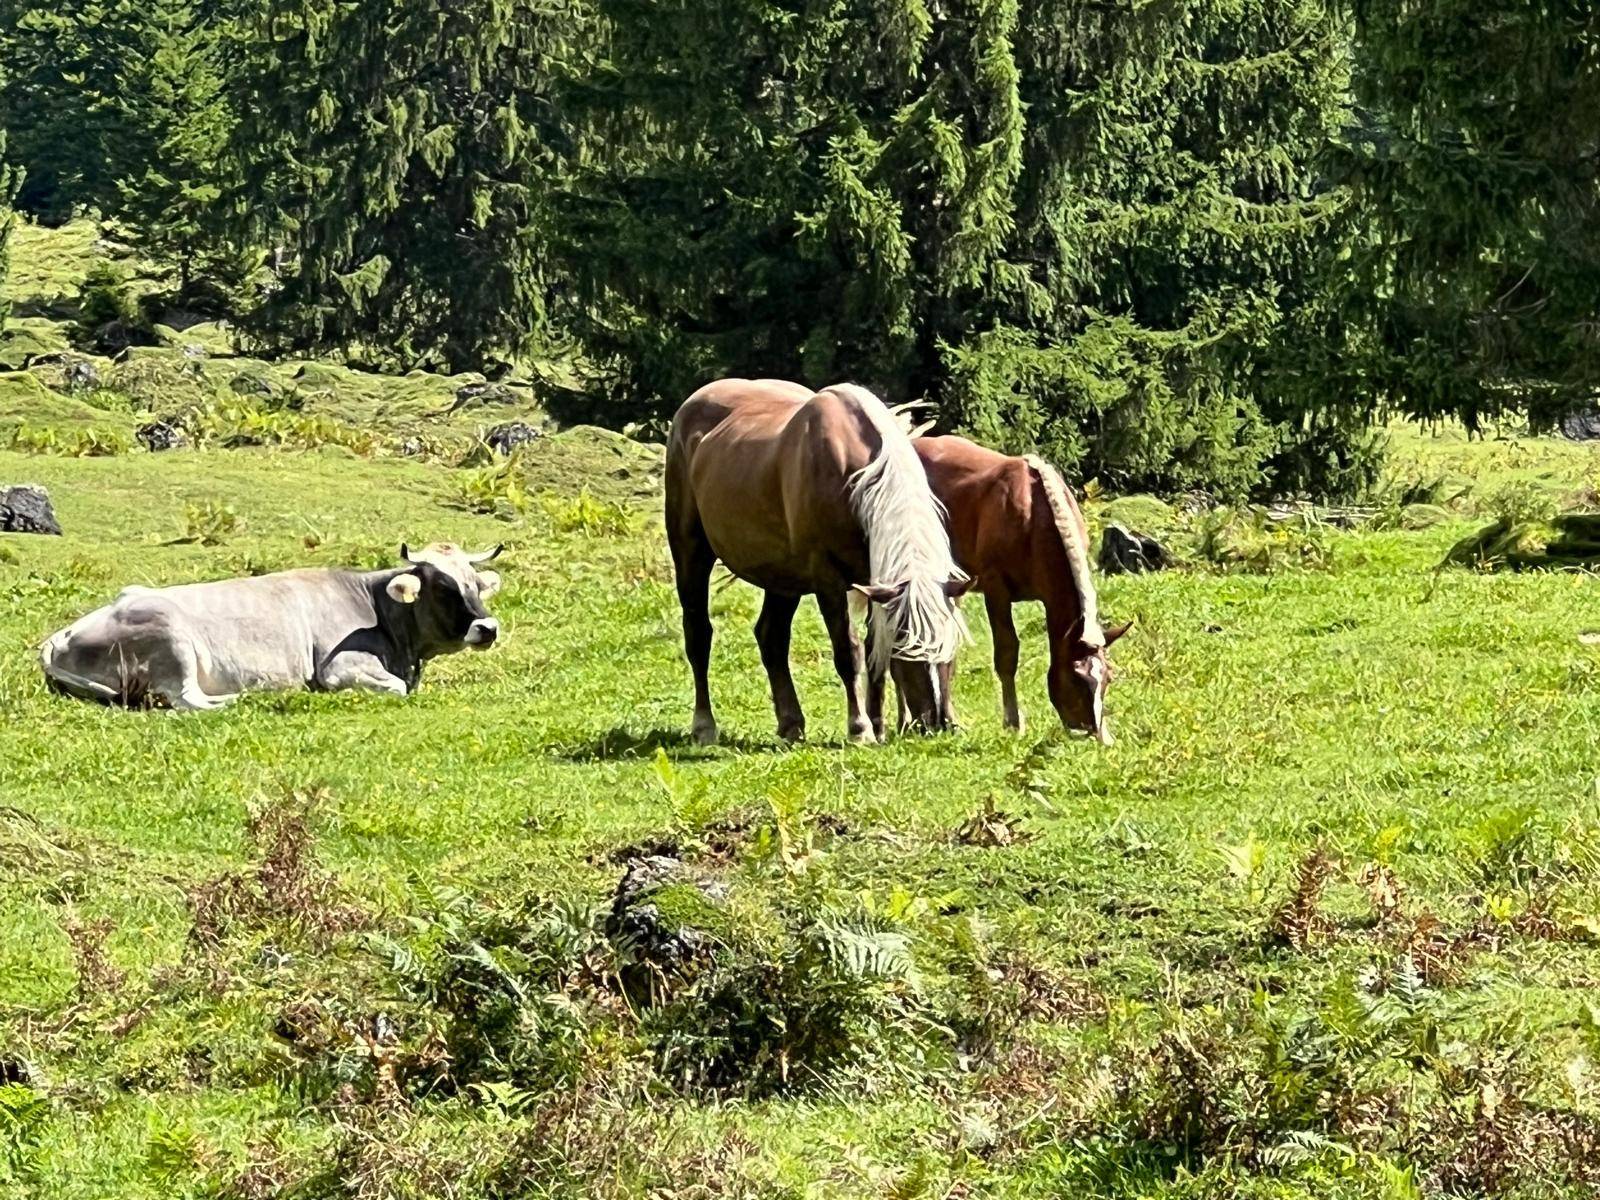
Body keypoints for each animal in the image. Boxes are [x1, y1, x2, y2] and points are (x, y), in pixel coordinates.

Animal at [39, 542, 503, 709]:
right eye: (443, 586)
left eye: (474, 582)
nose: (488, 627)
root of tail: (62, 635)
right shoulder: (339, 669)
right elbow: (395, 689)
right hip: (172, 641)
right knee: (188, 700)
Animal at [666, 378, 971, 745]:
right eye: (907, 647)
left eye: (950, 649)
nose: (937, 722)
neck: (855, 478)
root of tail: (690, 406)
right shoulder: (829, 581)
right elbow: (848, 653)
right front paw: (861, 728)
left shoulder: (875, 582)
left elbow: (873, 653)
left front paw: (878, 724)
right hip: (690, 551)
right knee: (698, 634)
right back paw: (704, 725)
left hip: (781, 576)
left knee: (771, 638)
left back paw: (791, 724)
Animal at [914, 435, 1129, 741]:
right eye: (1076, 678)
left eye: (1107, 678)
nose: (1095, 735)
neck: (1033, 519)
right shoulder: (995, 589)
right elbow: (1007, 653)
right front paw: (1013, 722)